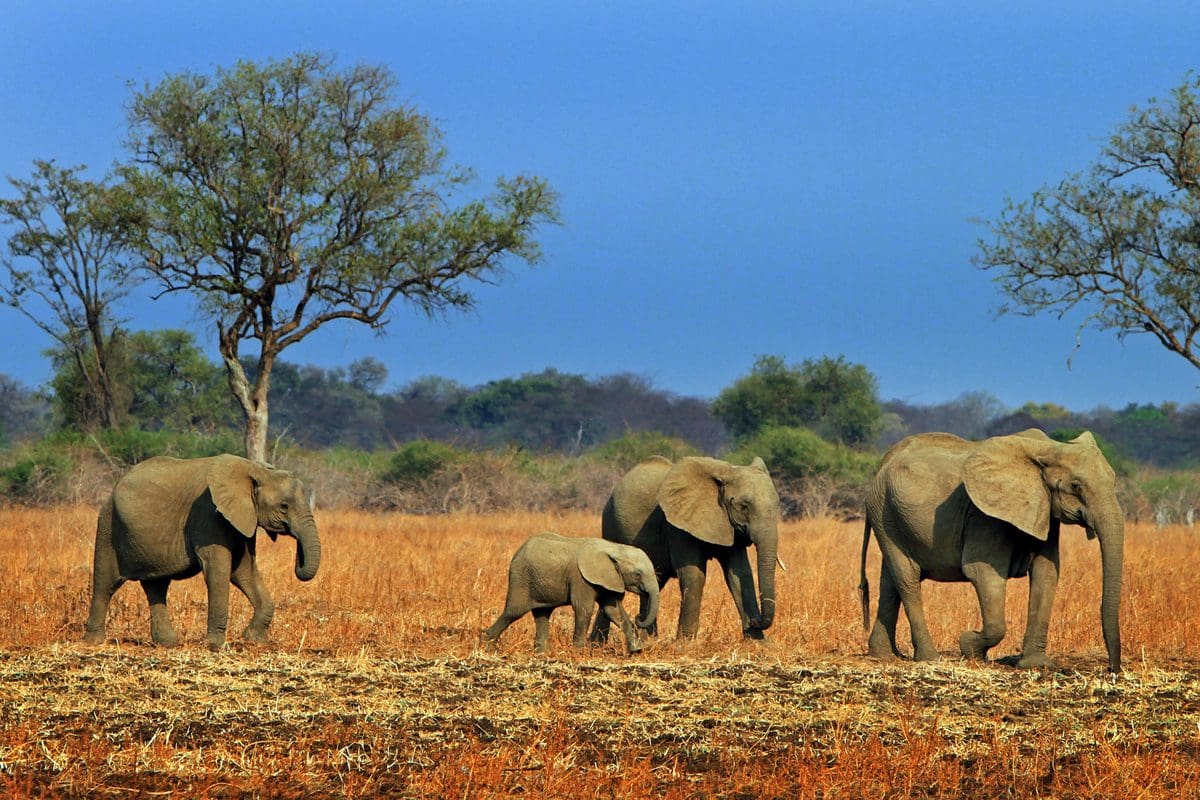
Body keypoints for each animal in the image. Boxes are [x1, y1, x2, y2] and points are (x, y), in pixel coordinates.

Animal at [83, 454, 322, 649]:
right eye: (284, 506)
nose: (298, 555)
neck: (255, 469)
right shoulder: (208, 514)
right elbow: (219, 572)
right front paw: (215, 646)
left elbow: (244, 571)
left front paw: (253, 639)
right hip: (107, 525)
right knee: (106, 583)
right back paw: (94, 642)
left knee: (156, 585)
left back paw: (168, 643)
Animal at [481, 532, 659, 654]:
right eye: (637, 574)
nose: (639, 617)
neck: (614, 548)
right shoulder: (581, 578)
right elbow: (584, 609)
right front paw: (579, 651)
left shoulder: (609, 580)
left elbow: (612, 610)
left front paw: (636, 651)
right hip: (521, 578)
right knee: (513, 612)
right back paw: (487, 645)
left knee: (542, 613)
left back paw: (542, 653)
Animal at [593, 455, 780, 641]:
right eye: (744, 507)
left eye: (777, 505)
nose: (756, 621)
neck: (724, 472)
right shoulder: (677, 525)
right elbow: (694, 575)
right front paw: (686, 642)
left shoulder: (729, 525)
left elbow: (740, 574)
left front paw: (760, 643)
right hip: (610, 523)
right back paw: (599, 644)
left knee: (653, 586)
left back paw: (648, 639)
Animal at [860, 429, 1124, 672]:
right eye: (1076, 486)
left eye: (1114, 481)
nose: (1112, 669)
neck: (1047, 447)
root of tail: (884, 461)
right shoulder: (984, 517)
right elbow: (983, 572)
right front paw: (968, 646)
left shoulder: (1044, 510)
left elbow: (1047, 572)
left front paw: (1035, 665)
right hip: (885, 513)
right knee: (908, 579)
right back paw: (929, 658)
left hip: (890, 515)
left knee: (890, 581)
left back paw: (883, 655)